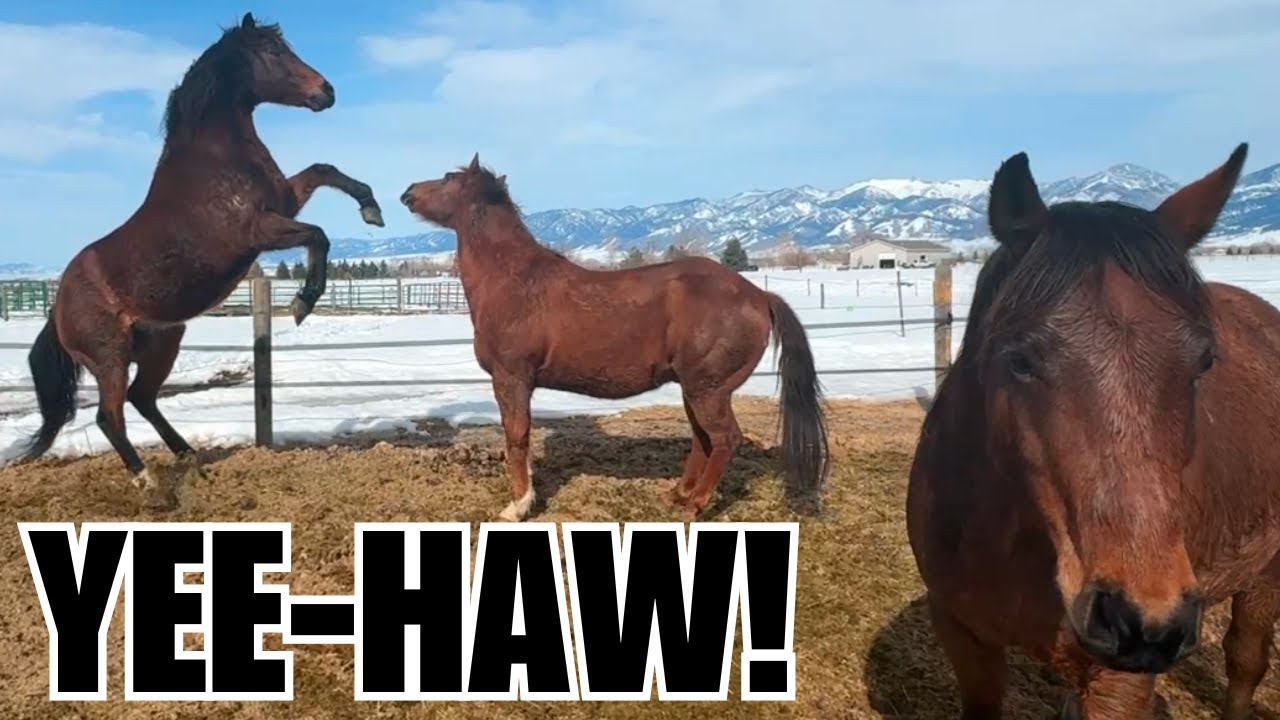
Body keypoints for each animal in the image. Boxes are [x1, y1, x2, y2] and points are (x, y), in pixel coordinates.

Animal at [19, 13, 384, 507]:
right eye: (273, 51)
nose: (326, 91)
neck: (214, 161)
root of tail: (57, 308)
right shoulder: (259, 230)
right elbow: (319, 236)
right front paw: (302, 304)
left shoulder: (285, 203)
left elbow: (324, 171)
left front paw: (372, 209)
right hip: (109, 358)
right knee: (110, 416)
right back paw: (149, 484)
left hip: (163, 343)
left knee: (143, 399)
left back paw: (189, 455)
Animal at [400, 154, 829, 521]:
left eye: (448, 178)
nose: (407, 192)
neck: (514, 280)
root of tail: (759, 296)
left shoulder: (511, 378)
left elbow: (517, 437)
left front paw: (518, 506)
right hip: (697, 389)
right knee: (702, 439)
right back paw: (679, 495)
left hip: (708, 389)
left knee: (725, 439)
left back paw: (696, 506)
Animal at [906, 143, 1280, 719]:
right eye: (1020, 360)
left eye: (1203, 361)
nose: (1145, 622)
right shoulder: (963, 638)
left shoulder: (1120, 684)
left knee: (1245, 660)